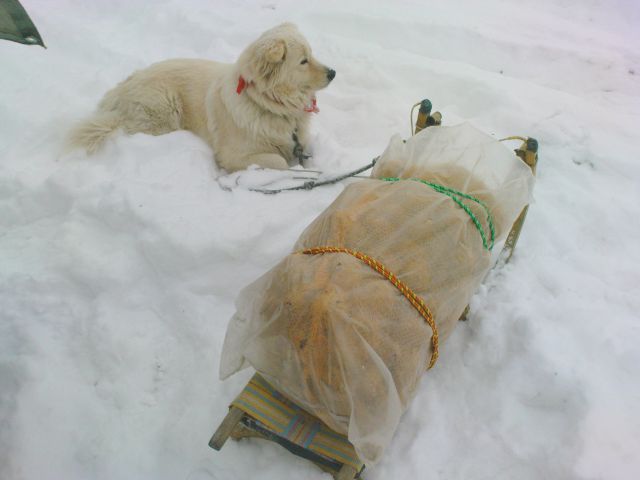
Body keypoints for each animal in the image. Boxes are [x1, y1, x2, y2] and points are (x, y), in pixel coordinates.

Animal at [68, 23, 338, 172]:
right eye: (303, 61)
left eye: (312, 54)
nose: (333, 73)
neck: (267, 104)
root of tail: (120, 91)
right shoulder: (234, 155)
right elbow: (278, 161)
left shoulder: (300, 142)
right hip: (165, 110)